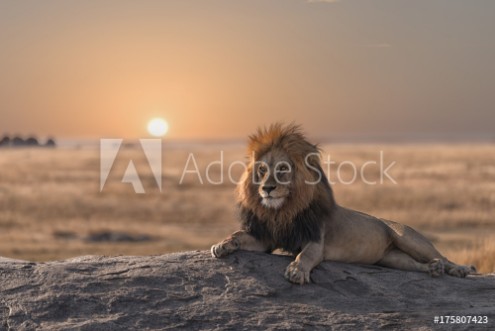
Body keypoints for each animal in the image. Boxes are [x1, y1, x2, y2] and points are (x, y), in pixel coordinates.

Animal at [211, 124, 478, 286]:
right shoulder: (266, 238)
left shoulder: (315, 240)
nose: (267, 188)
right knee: (414, 264)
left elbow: (306, 255)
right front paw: (222, 245)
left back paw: (459, 269)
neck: (283, 210)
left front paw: (296, 271)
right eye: (262, 170)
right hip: (390, 258)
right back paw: (432, 270)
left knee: (442, 256)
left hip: (409, 238)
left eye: (283, 169)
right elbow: (239, 235)